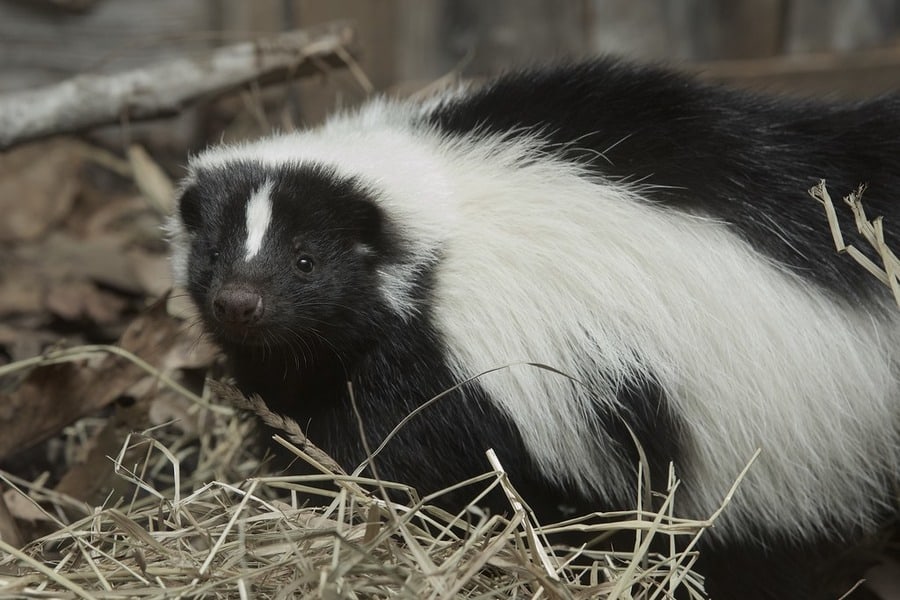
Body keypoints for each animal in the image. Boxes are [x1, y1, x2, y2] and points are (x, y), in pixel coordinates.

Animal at [171, 58, 900, 596]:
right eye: (214, 252)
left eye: (307, 261)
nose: (239, 302)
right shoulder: (308, 360)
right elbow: (298, 409)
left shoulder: (444, 372)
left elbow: (395, 458)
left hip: (760, 445)